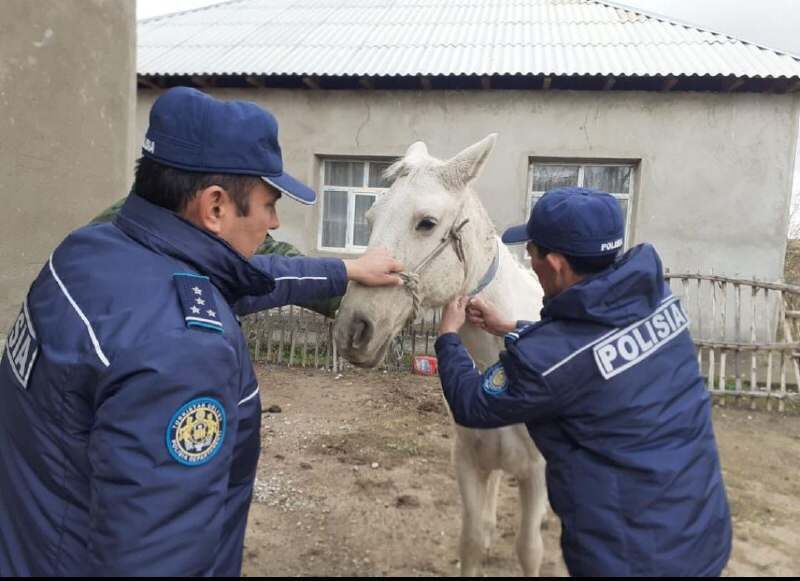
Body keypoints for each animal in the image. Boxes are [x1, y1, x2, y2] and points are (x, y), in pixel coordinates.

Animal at [332, 135, 552, 576]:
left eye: (427, 223)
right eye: (371, 217)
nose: (353, 330)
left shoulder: (536, 473)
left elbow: (529, 549)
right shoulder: (467, 461)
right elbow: (472, 539)